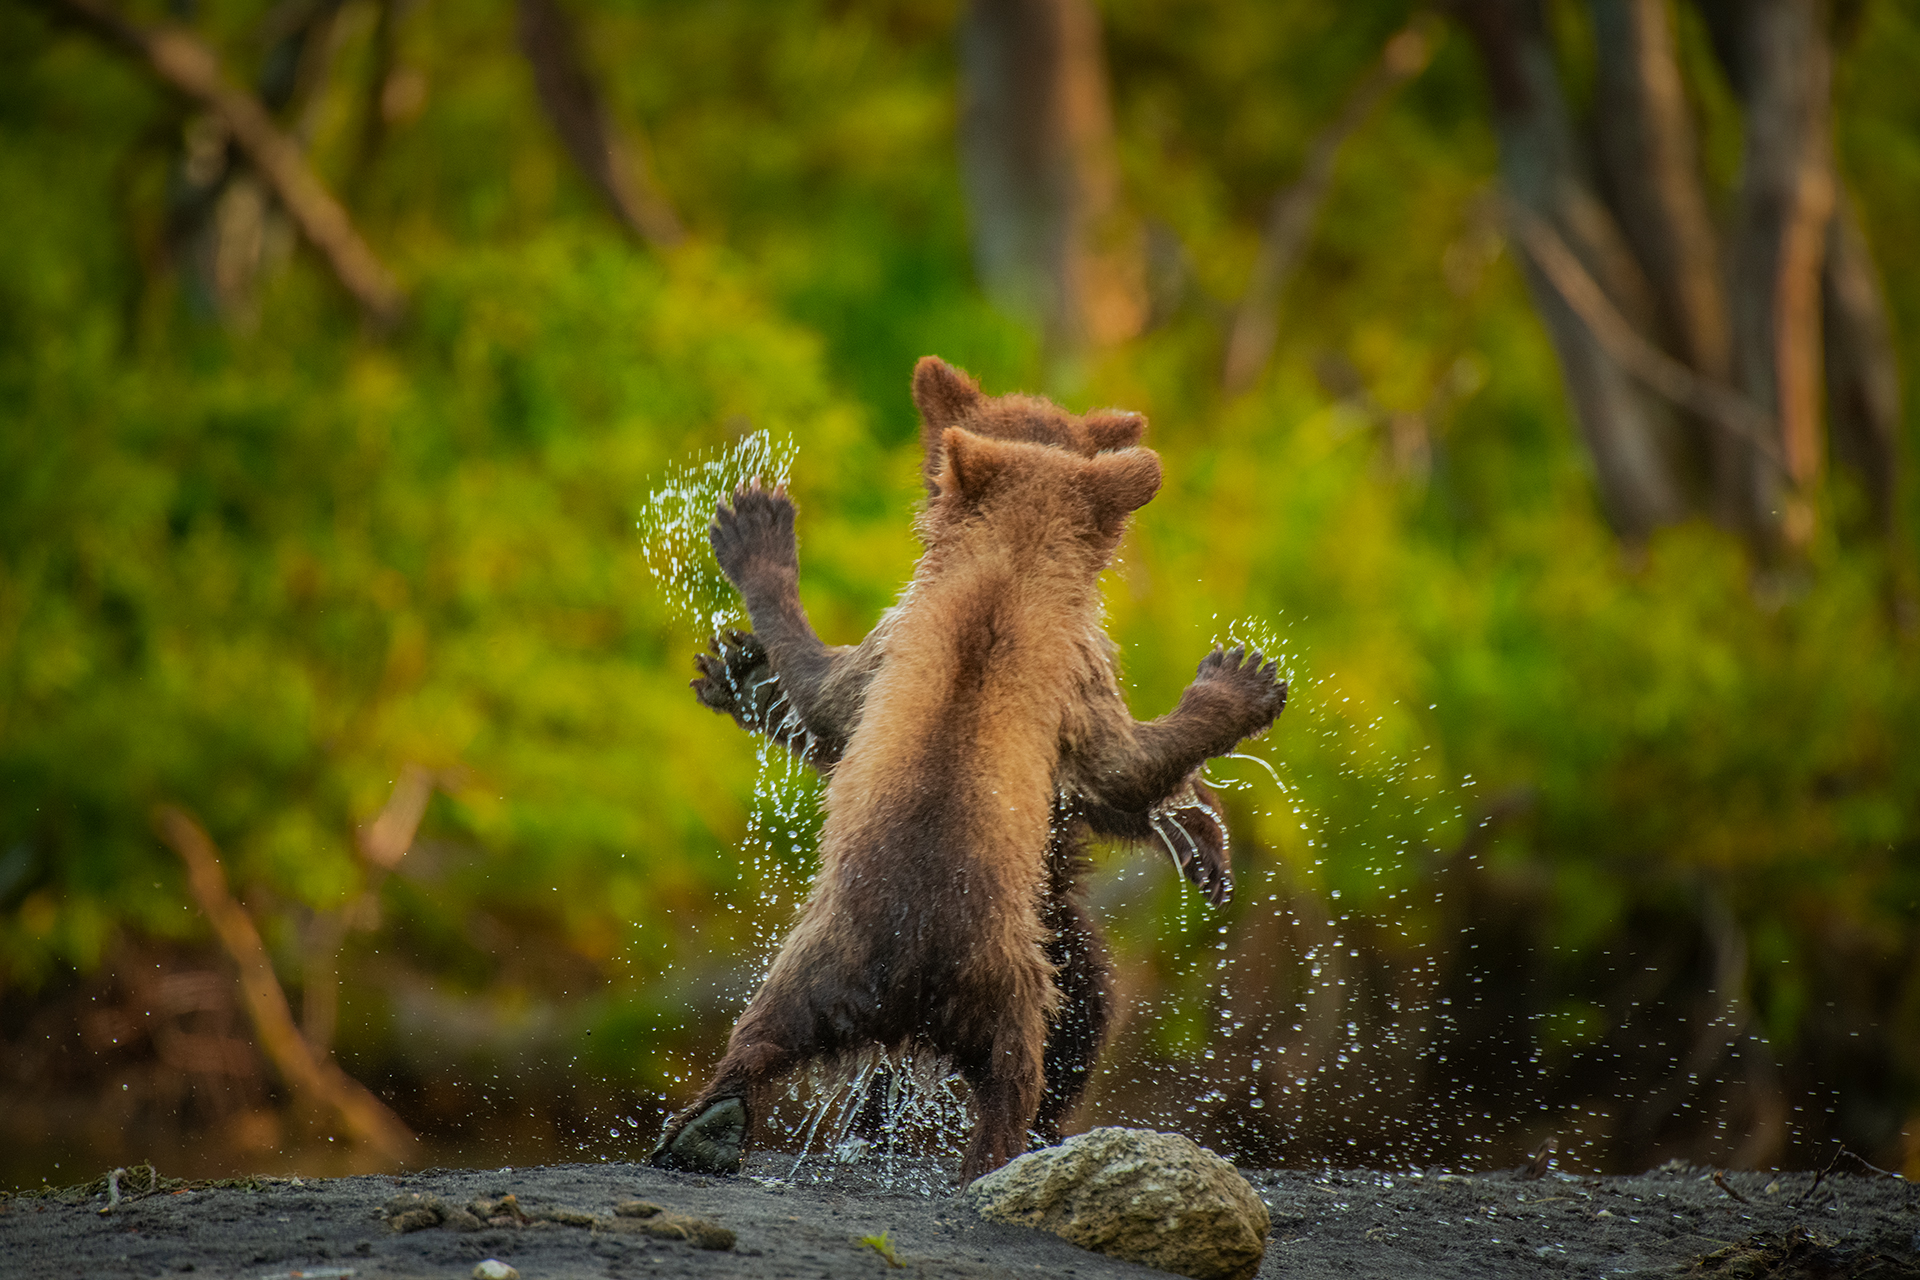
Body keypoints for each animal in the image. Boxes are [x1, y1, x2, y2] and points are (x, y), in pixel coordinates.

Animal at [652, 409, 1286, 1182]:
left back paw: (704, 1129)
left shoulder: (889, 654)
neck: (1007, 568)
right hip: (1008, 976)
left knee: (759, 1032)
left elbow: (830, 705)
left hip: (817, 961)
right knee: (1024, 1065)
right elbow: (1120, 767)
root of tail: (903, 991)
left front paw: (737, 663)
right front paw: (1241, 680)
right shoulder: (1071, 672)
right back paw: (998, 1155)